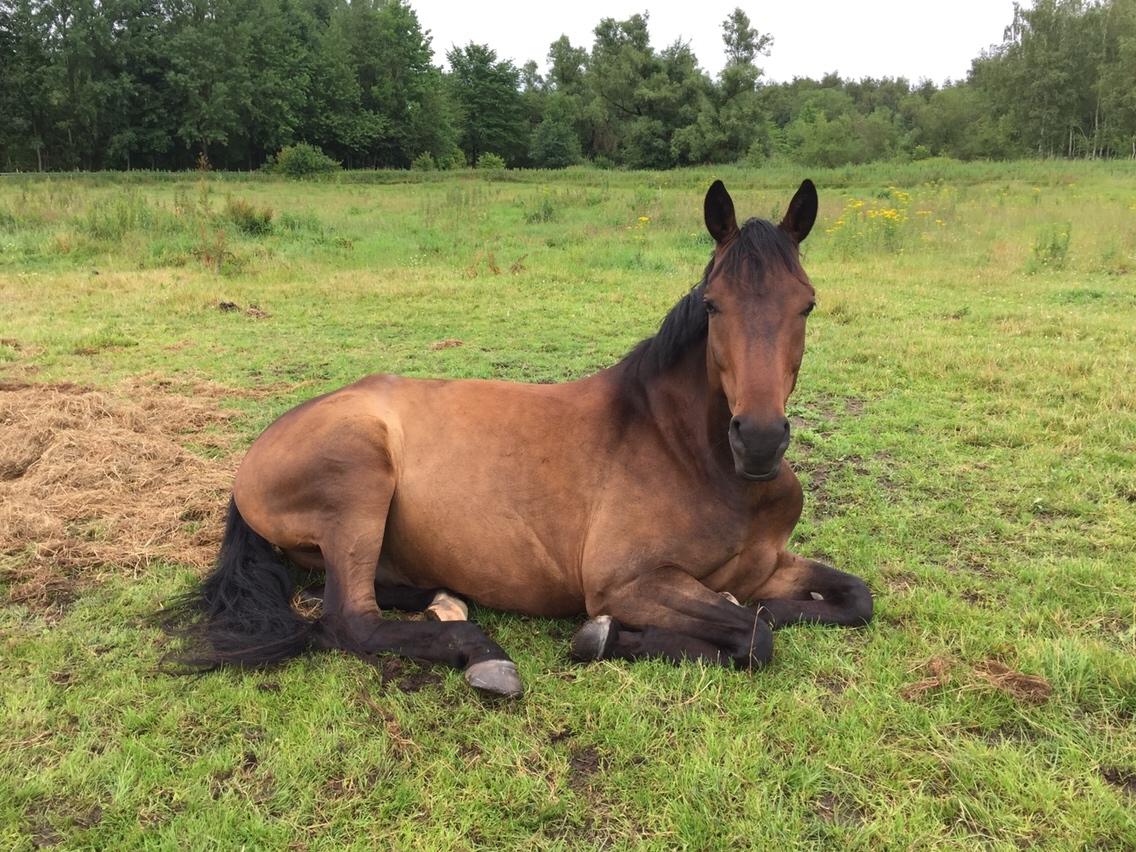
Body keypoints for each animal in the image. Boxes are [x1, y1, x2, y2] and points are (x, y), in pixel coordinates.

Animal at [157, 180, 867, 699]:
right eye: (714, 304)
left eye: (806, 303)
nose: (760, 441)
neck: (690, 452)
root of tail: (259, 451)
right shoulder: (626, 583)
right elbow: (752, 637)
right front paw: (606, 638)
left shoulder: (768, 565)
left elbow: (849, 599)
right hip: (358, 479)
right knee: (348, 619)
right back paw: (482, 654)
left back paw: (450, 602)